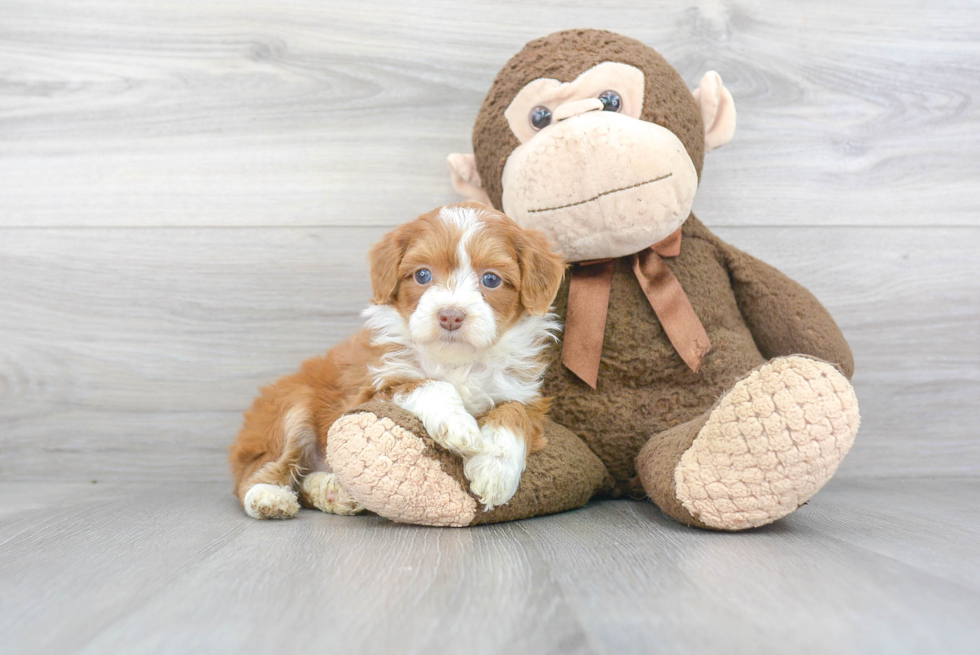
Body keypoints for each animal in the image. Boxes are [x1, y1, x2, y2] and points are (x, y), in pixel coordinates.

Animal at [232, 202, 568, 520]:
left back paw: (333, 492)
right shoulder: (373, 388)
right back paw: (268, 497)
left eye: (491, 279)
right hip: (291, 406)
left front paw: (495, 471)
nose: (450, 315)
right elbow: (427, 383)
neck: (457, 361)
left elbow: (514, 413)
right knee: (260, 470)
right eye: (422, 275)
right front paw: (457, 425)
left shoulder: (524, 394)